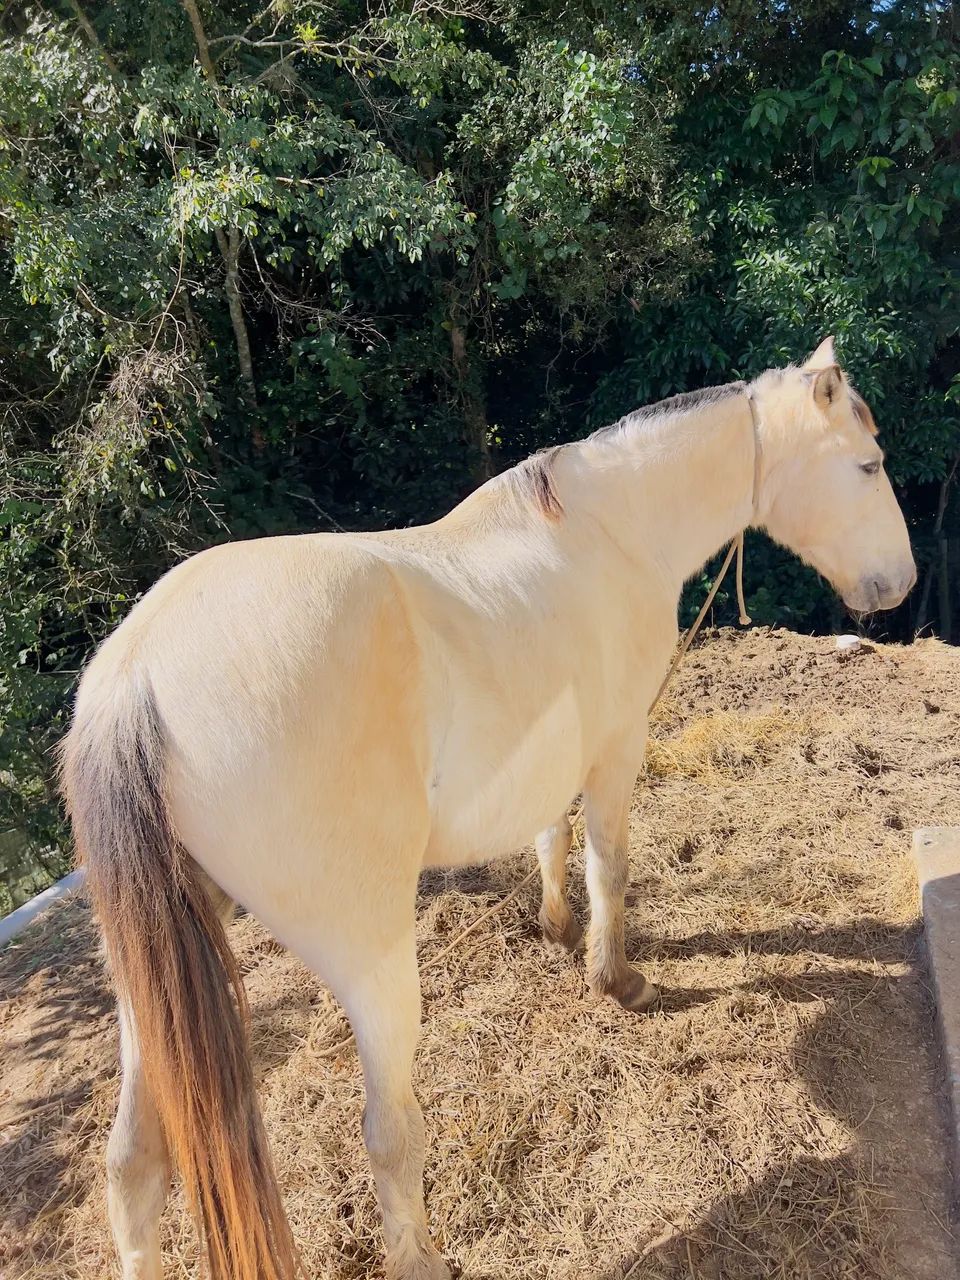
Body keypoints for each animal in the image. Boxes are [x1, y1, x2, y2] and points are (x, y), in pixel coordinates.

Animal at [61, 337, 915, 1280]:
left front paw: (554, 929)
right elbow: (609, 867)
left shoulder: (557, 752)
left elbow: (551, 836)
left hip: (152, 977)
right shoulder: (617, 745)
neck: (613, 530)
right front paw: (615, 978)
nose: (901, 585)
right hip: (371, 962)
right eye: (868, 463)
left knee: (133, 1162)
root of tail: (135, 679)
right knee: (389, 1136)